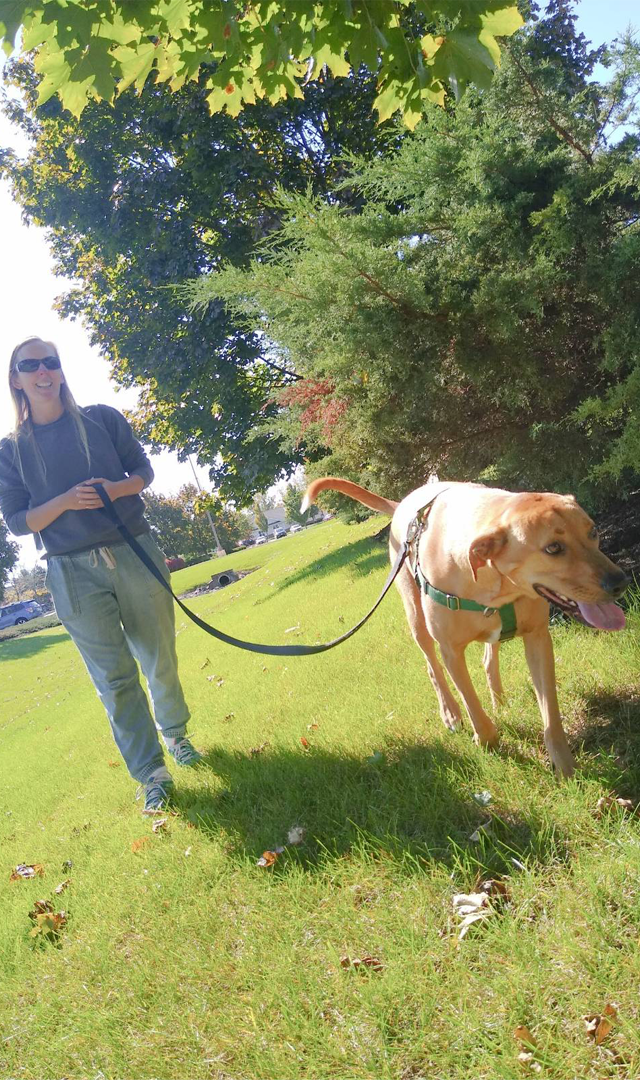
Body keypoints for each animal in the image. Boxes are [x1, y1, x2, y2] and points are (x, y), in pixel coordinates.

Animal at [302, 481, 625, 777]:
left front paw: (564, 764)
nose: (619, 582)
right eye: (553, 548)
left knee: (488, 659)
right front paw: (486, 741)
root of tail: (402, 504)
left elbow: (551, 713)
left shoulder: (538, 638)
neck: (493, 580)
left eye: (593, 532)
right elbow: (471, 703)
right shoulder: (451, 651)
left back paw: (499, 700)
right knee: (433, 667)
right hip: (415, 617)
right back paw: (450, 712)